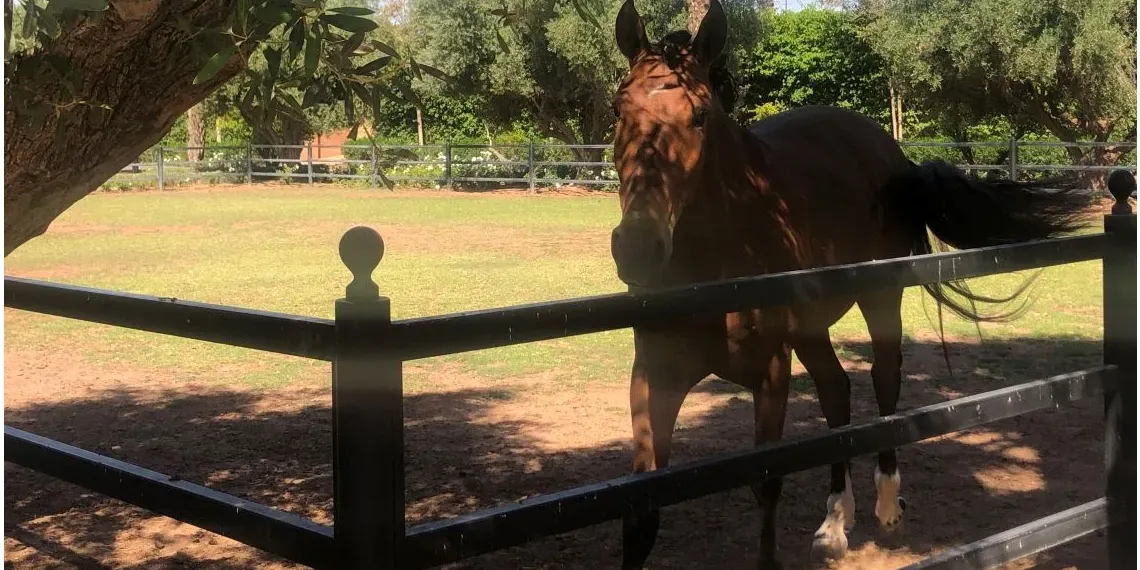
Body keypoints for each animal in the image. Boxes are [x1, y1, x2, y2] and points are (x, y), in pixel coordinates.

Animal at [607, 0, 1093, 568]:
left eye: (700, 115)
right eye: (618, 110)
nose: (637, 248)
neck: (715, 268)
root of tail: (894, 156)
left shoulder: (770, 375)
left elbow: (766, 486)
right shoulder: (652, 377)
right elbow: (641, 512)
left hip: (880, 299)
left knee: (884, 382)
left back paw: (886, 505)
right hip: (811, 328)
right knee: (836, 393)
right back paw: (836, 521)